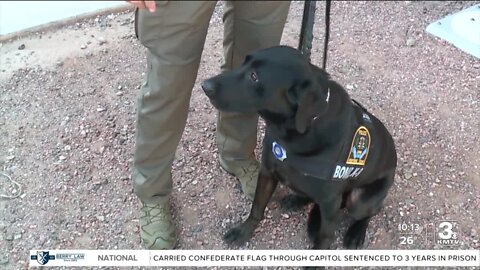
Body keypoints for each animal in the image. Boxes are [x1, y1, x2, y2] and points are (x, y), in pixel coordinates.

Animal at [201, 46, 396, 251]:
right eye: (243, 63)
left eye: (254, 76)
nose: (205, 85)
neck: (292, 133)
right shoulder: (267, 172)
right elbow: (257, 208)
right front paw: (244, 231)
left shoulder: (330, 202)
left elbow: (325, 237)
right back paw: (296, 200)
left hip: (359, 200)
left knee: (369, 212)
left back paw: (356, 233)